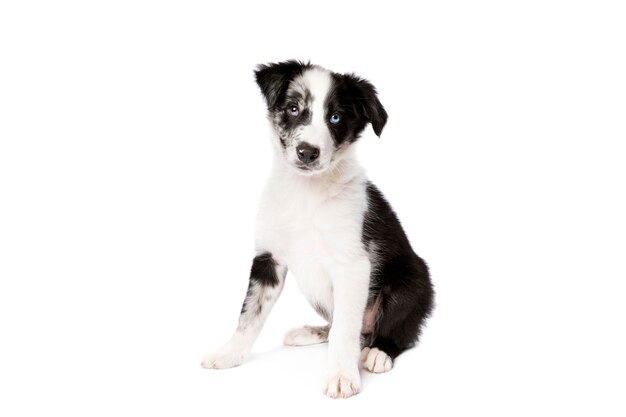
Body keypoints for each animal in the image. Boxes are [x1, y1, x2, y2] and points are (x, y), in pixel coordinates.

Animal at [202, 61, 432, 396]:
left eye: (335, 117)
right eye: (294, 108)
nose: (307, 152)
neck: (306, 192)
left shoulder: (353, 266)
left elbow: (346, 330)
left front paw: (341, 376)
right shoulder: (269, 257)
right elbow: (250, 313)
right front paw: (228, 353)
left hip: (411, 283)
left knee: (396, 331)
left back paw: (379, 352)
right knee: (340, 325)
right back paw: (311, 332)